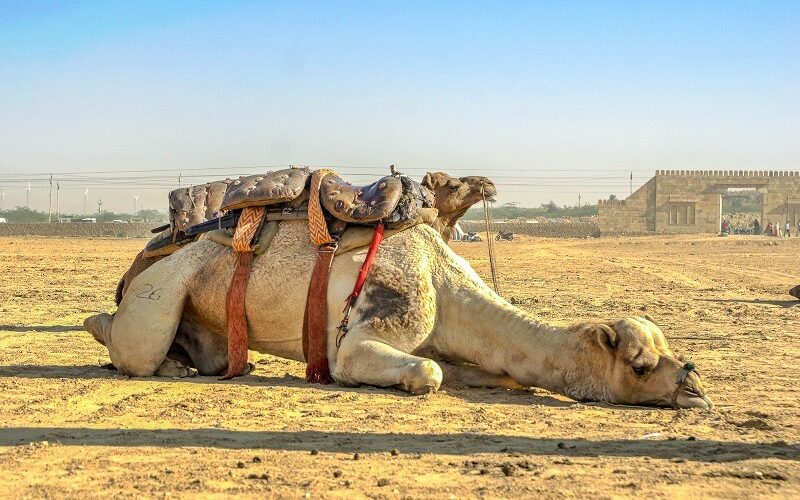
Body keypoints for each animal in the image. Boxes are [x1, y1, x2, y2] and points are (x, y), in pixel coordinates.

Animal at [84, 221, 716, 408]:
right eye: (638, 365)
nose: (695, 389)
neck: (444, 284)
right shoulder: (364, 337)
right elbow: (423, 372)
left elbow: (483, 373)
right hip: (163, 288)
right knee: (131, 346)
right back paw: (157, 360)